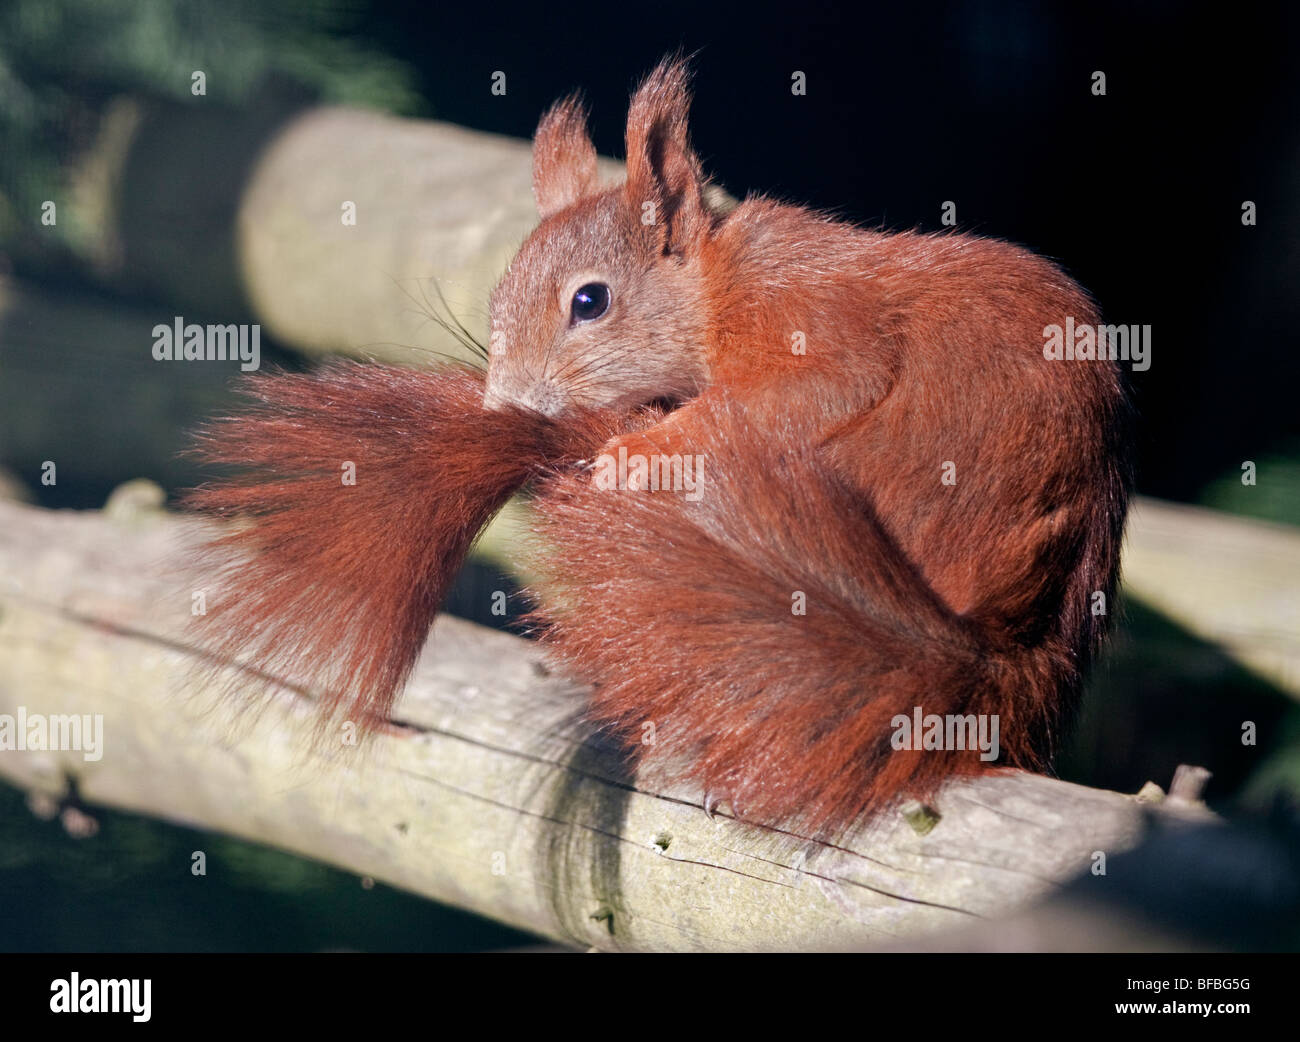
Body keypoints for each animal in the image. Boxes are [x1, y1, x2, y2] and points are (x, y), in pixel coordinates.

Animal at [188, 56, 1133, 836]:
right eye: (496, 297)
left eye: (590, 301)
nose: (505, 406)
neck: (715, 286)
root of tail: (999, 645)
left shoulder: (815, 323)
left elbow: (806, 391)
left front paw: (634, 449)